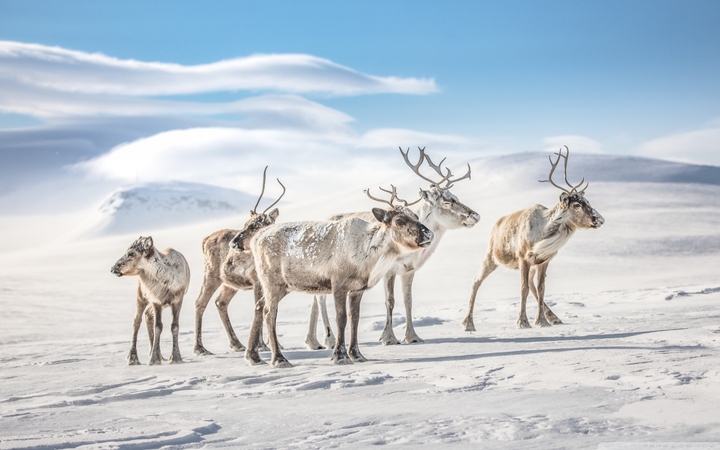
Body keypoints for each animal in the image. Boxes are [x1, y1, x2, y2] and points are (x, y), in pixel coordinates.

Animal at [111, 236, 190, 365]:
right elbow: (158, 326)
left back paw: (159, 355)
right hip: (141, 296)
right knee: (137, 320)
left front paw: (175, 358)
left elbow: (174, 326)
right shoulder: (156, 301)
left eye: (131, 253)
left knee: (147, 315)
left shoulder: (177, 300)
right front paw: (154, 359)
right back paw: (132, 358)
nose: (113, 268)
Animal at [193, 167, 285, 356]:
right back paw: (200, 348)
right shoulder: (257, 281)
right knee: (200, 302)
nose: (233, 243)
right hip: (211, 275)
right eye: (246, 223)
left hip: (229, 283)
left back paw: (236, 344)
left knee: (220, 302)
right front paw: (261, 345)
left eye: (258, 225)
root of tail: (204, 240)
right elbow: (259, 308)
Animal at [239, 187, 435, 368]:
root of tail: (255, 239)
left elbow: (354, 318)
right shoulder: (339, 284)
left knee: (258, 306)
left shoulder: (357, 289)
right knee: (269, 313)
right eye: (399, 220)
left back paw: (253, 357)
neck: (368, 254)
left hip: (283, 286)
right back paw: (279, 359)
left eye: (416, 215)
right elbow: (341, 319)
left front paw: (357, 355)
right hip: (272, 283)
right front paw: (340, 356)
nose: (429, 234)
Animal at [306, 147, 480, 347]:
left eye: (456, 197)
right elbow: (390, 301)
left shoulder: (409, 270)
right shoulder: (389, 270)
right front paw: (388, 337)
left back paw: (313, 341)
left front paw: (412, 336)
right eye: (447, 202)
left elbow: (408, 301)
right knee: (320, 298)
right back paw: (329, 339)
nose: (475, 215)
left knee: (315, 297)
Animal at [461, 146, 605, 331]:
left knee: (531, 285)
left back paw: (554, 317)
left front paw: (541, 321)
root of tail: (496, 225)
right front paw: (522, 322)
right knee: (476, 281)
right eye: (577, 204)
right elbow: (523, 288)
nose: (600, 219)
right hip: (491, 257)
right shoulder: (523, 258)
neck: (543, 235)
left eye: (587, 201)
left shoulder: (543, 260)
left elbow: (541, 288)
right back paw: (468, 324)